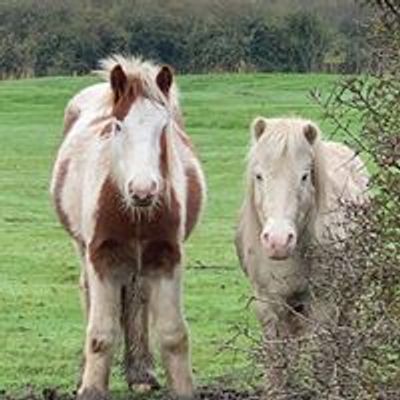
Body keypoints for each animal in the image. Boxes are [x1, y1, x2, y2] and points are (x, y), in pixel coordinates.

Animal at [50, 54, 205, 398]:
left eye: (164, 126)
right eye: (118, 126)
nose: (143, 190)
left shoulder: (168, 256)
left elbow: (174, 335)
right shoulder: (101, 255)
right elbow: (100, 333)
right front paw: (90, 389)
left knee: (137, 298)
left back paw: (140, 372)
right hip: (83, 248)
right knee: (90, 295)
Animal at [234, 116, 368, 396]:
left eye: (305, 176)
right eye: (259, 175)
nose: (277, 241)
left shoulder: (324, 302)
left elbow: (323, 362)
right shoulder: (269, 303)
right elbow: (277, 363)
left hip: (348, 295)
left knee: (345, 339)